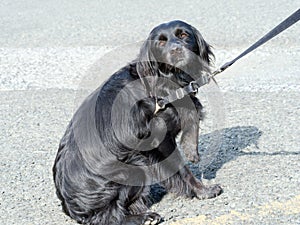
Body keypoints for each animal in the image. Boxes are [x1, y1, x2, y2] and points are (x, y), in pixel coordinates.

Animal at [52, 20, 221, 224]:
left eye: (183, 35)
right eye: (161, 42)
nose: (176, 50)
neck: (163, 82)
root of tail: (69, 206)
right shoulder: (159, 141)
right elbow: (181, 168)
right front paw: (202, 191)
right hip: (134, 165)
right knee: (110, 216)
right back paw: (146, 217)